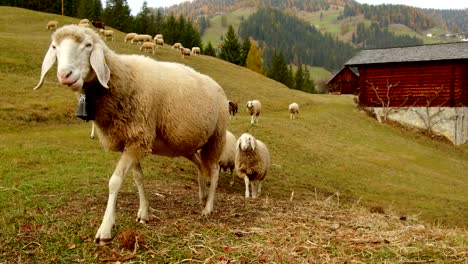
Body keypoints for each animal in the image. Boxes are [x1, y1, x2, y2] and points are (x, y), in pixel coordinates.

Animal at [32, 25, 229, 245]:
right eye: (54, 47)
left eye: (88, 45)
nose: (65, 74)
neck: (124, 78)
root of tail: (217, 86)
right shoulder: (130, 140)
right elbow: (138, 178)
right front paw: (143, 213)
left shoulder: (138, 137)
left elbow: (114, 182)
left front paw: (105, 228)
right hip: (186, 144)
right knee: (200, 166)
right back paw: (203, 195)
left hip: (216, 137)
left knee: (214, 170)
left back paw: (208, 207)